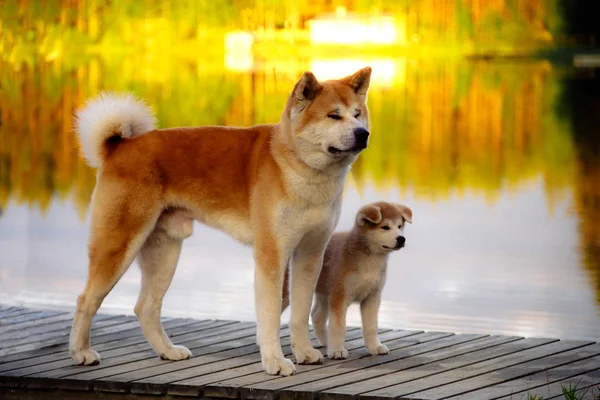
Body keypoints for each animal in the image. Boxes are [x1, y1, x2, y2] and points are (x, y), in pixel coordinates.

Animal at [69, 66, 370, 376]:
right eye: (333, 115)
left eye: (357, 114)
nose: (363, 133)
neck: (297, 167)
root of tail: (119, 147)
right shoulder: (271, 254)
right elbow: (271, 316)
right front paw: (275, 362)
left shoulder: (310, 253)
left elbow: (299, 313)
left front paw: (305, 352)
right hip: (119, 245)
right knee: (86, 300)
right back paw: (82, 353)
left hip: (165, 250)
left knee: (146, 307)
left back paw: (168, 351)